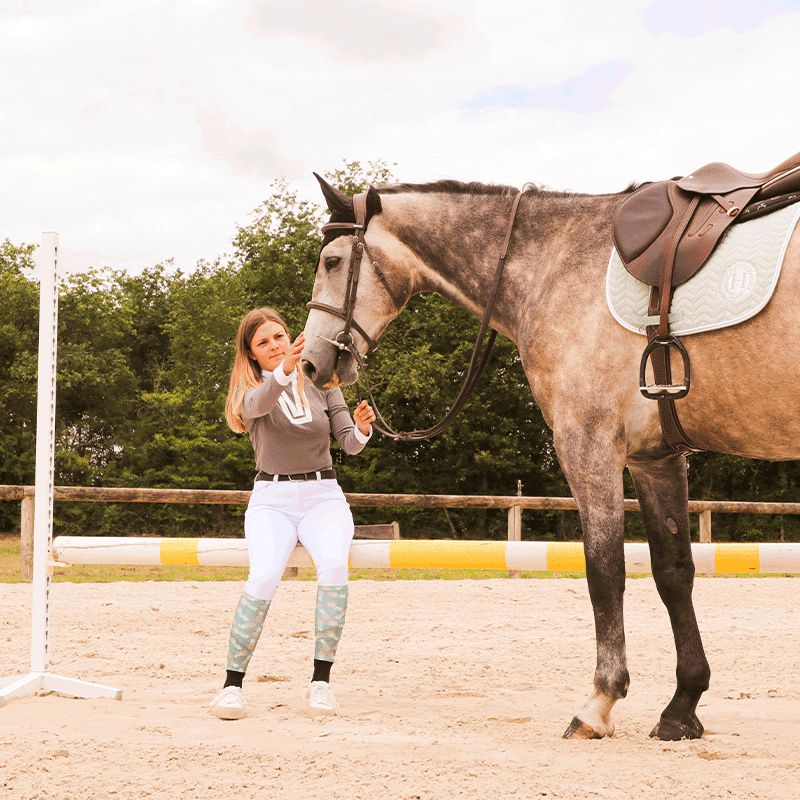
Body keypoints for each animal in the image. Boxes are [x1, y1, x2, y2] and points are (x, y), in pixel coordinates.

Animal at [300, 173, 800, 741]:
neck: (555, 262)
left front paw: (599, 703)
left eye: (332, 261)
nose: (311, 363)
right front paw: (681, 706)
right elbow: (674, 572)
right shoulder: (656, 459)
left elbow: (604, 572)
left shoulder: (588, 446)